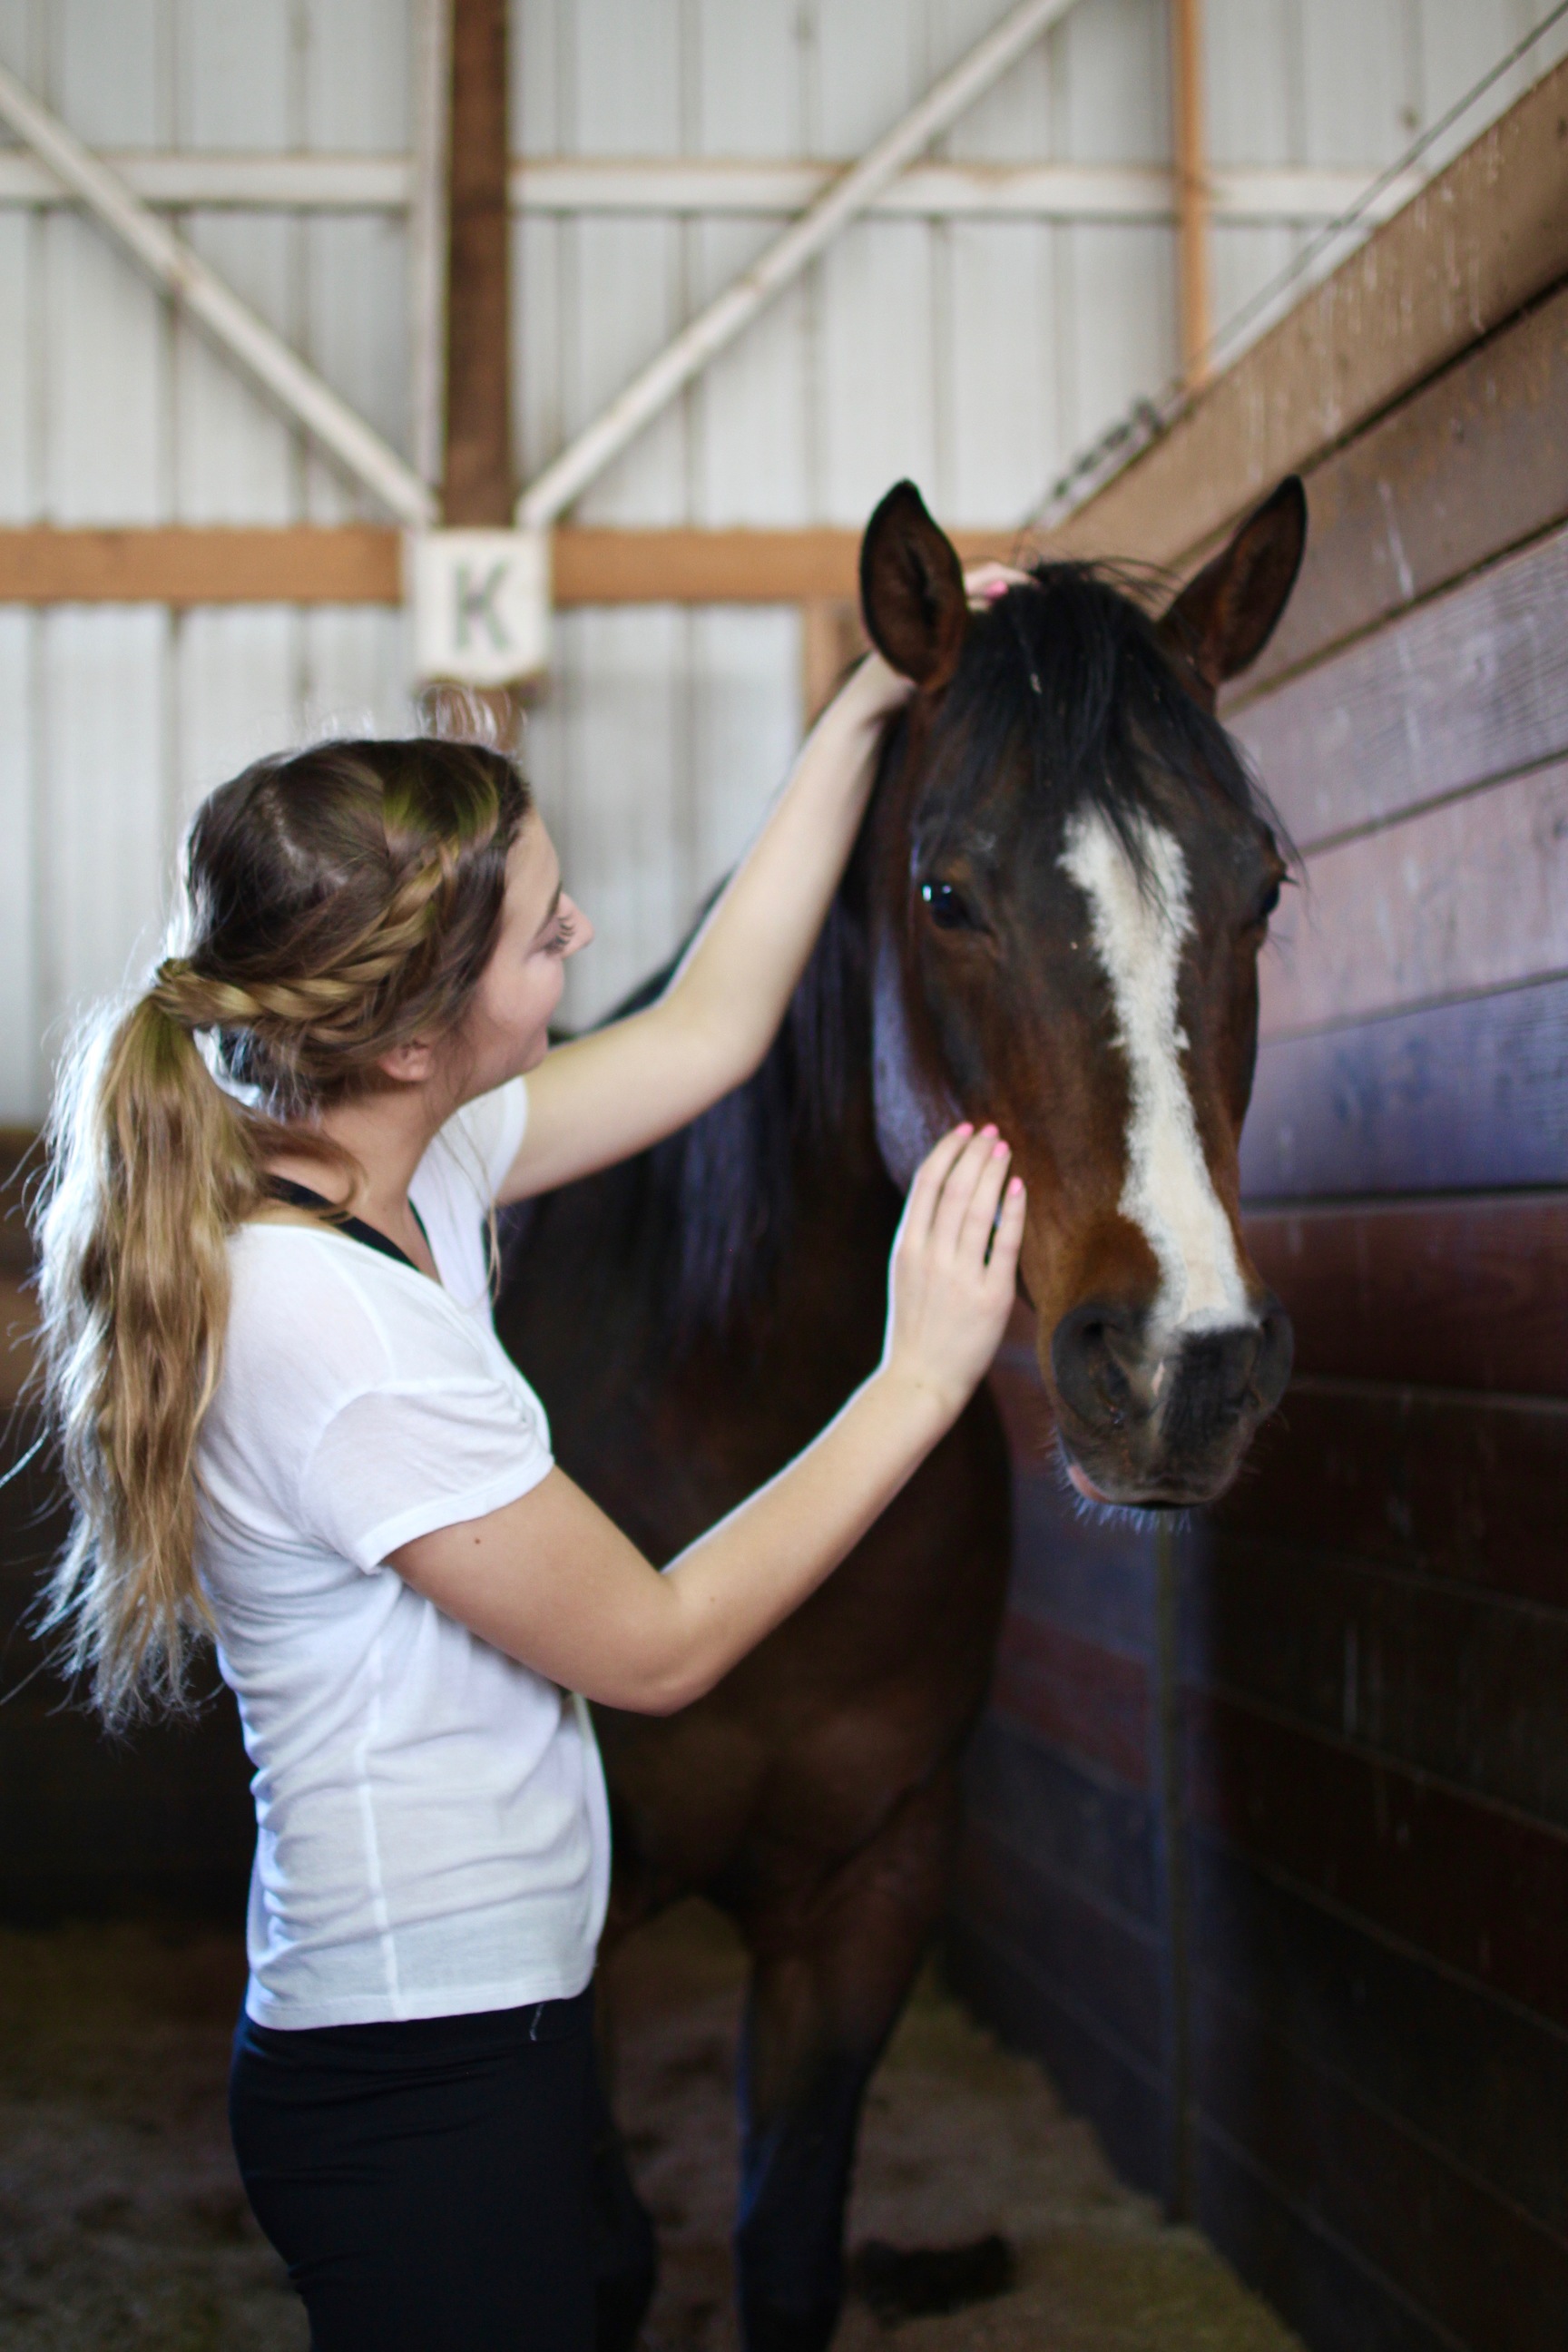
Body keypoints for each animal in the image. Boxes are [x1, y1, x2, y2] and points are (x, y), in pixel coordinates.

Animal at [495, 482, 1307, 2352]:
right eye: (945, 888)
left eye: (1262, 886)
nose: (1181, 1366)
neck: (734, 1429)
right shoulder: (560, 1950)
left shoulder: (865, 1890)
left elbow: (786, 2238)